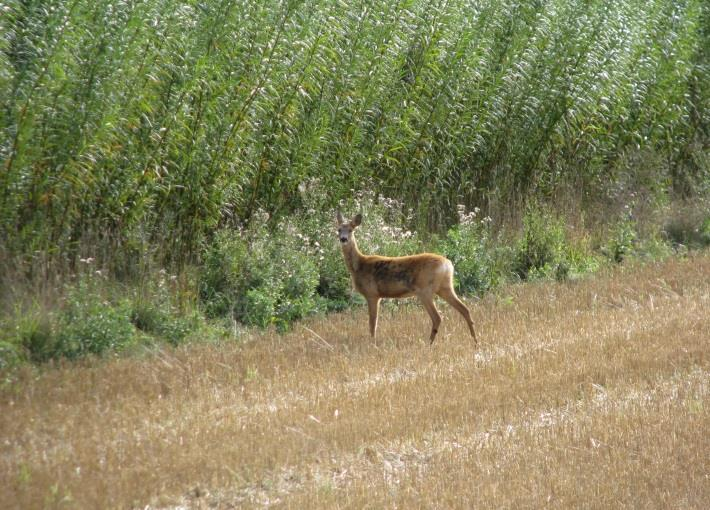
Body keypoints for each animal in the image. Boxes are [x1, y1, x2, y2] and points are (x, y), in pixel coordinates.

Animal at [338, 209, 478, 344]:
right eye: (339, 229)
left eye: (350, 230)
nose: (343, 239)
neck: (359, 266)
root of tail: (448, 265)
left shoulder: (372, 294)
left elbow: (372, 323)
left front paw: (372, 342)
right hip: (445, 287)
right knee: (465, 309)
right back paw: (475, 340)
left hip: (425, 290)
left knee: (437, 317)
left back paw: (429, 343)